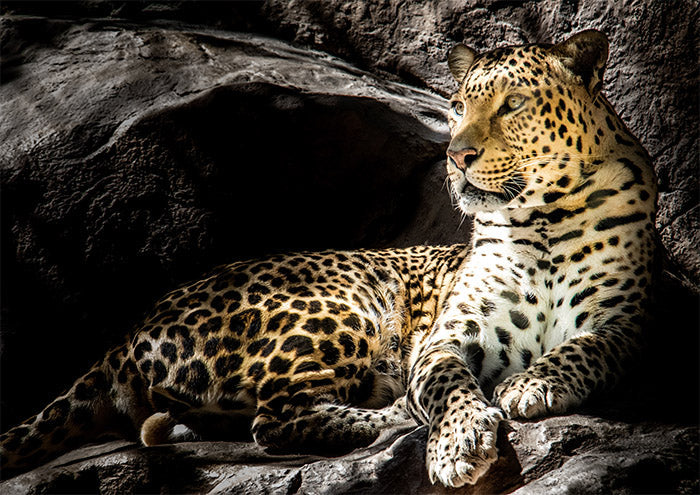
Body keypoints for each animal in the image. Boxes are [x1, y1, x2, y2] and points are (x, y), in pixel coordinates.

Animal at [1, 29, 656, 488]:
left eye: (514, 103)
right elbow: (446, 383)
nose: (457, 155)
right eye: (455, 107)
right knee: (276, 422)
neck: (542, 218)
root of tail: (131, 329)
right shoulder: (447, 337)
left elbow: (585, 347)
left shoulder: (627, 323)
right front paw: (458, 443)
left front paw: (534, 383)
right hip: (339, 309)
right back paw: (396, 414)